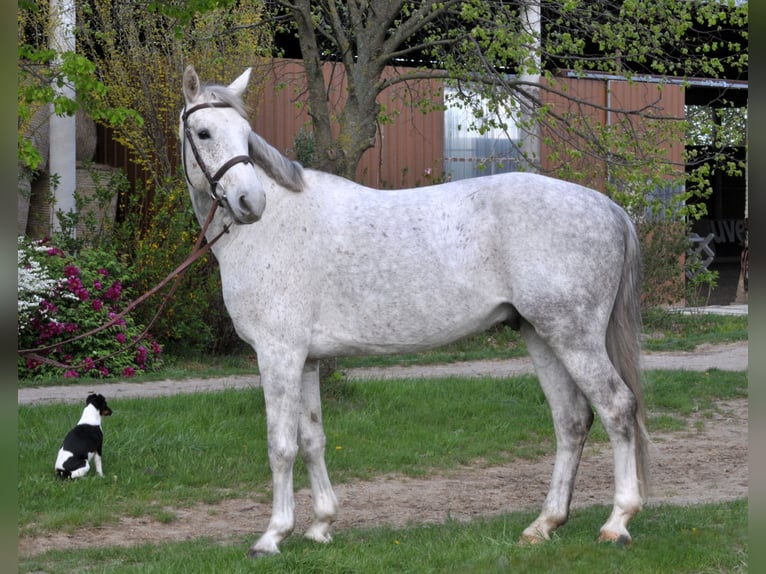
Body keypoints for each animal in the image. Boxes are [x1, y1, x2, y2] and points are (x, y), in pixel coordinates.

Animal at [179, 65, 650, 558]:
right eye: (204, 131)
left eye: (245, 132)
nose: (250, 203)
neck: (272, 228)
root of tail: (608, 206)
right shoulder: (305, 359)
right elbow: (311, 440)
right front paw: (321, 525)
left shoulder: (278, 355)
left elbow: (281, 445)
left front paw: (272, 535)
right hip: (542, 334)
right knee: (572, 421)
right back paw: (544, 524)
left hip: (573, 336)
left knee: (617, 408)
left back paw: (617, 522)